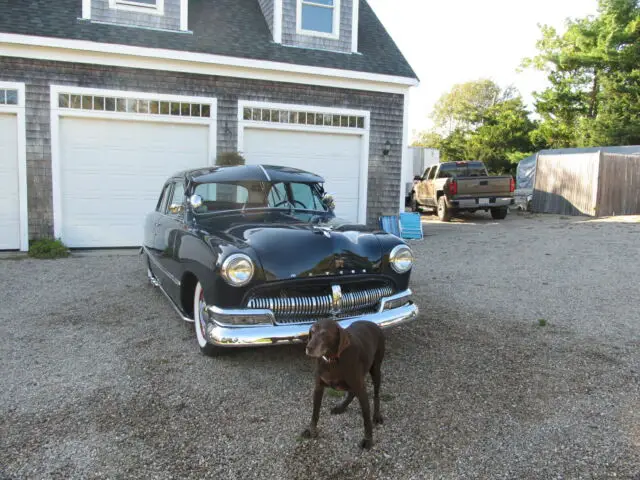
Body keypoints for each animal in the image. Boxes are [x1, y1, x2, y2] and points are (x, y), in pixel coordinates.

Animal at [302, 318, 384, 450]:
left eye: (324, 333)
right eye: (312, 331)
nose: (309, 348)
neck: (332, 361)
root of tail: (372, 323)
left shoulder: (360, 388)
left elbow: (366, 419)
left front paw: (368, 440)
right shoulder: (318, 387)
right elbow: (315, 413)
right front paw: (311, 430)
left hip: (375, 370)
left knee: (376, 395)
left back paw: (376, 415)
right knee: (352, 393)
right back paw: (341, 407)